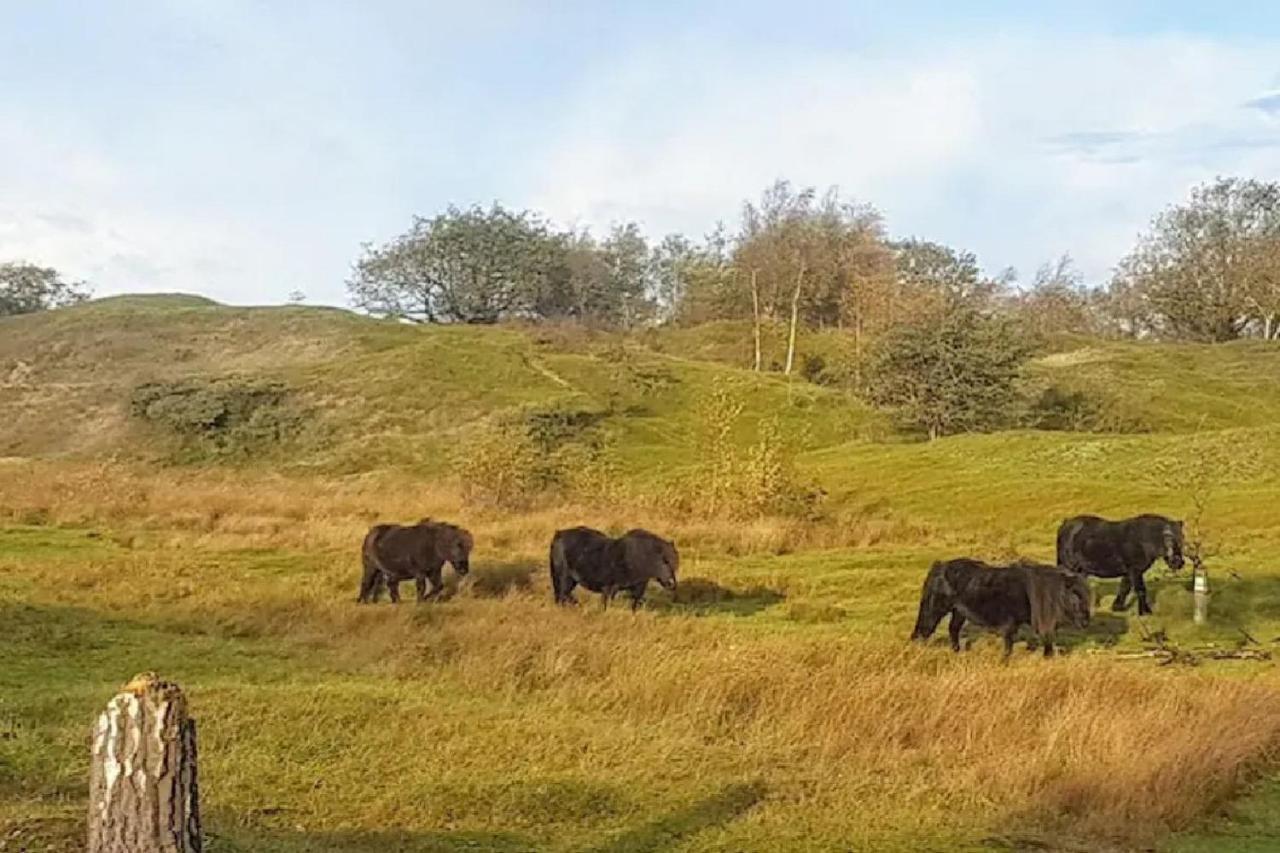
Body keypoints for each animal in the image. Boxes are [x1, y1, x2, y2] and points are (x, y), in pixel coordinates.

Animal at [1054, 512, 1182, 612]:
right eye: (1169, 538)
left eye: (1182, 539)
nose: (1178, 563)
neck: (1142, 540)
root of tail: (1065, 525)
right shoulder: (1135, 570)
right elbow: (1140, 590)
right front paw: (1145, 612)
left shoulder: (1129, 572)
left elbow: (1124, 588)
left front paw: (1117, 607)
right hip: (1071, 568)